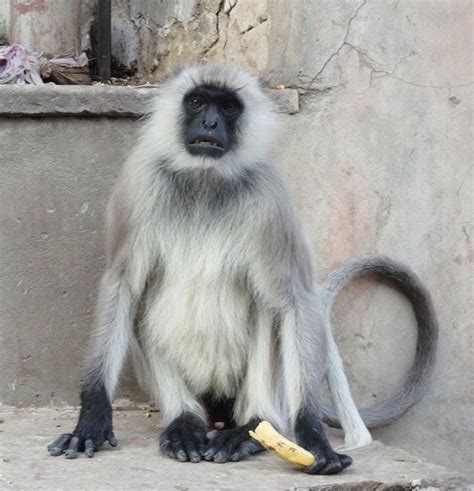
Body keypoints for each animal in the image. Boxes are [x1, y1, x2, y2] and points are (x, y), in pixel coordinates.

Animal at [47, 63, 436, 474]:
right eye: (198, 102)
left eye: (228, 107)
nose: (211, 122)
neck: (205, 179)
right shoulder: (141, 183)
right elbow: (123, 285)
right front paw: (91, 417)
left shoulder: (270, 198)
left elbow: (294, 302)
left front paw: (312, 435)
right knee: (142, 301)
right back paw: (184, 422)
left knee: (269, 306)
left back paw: (252, 428)